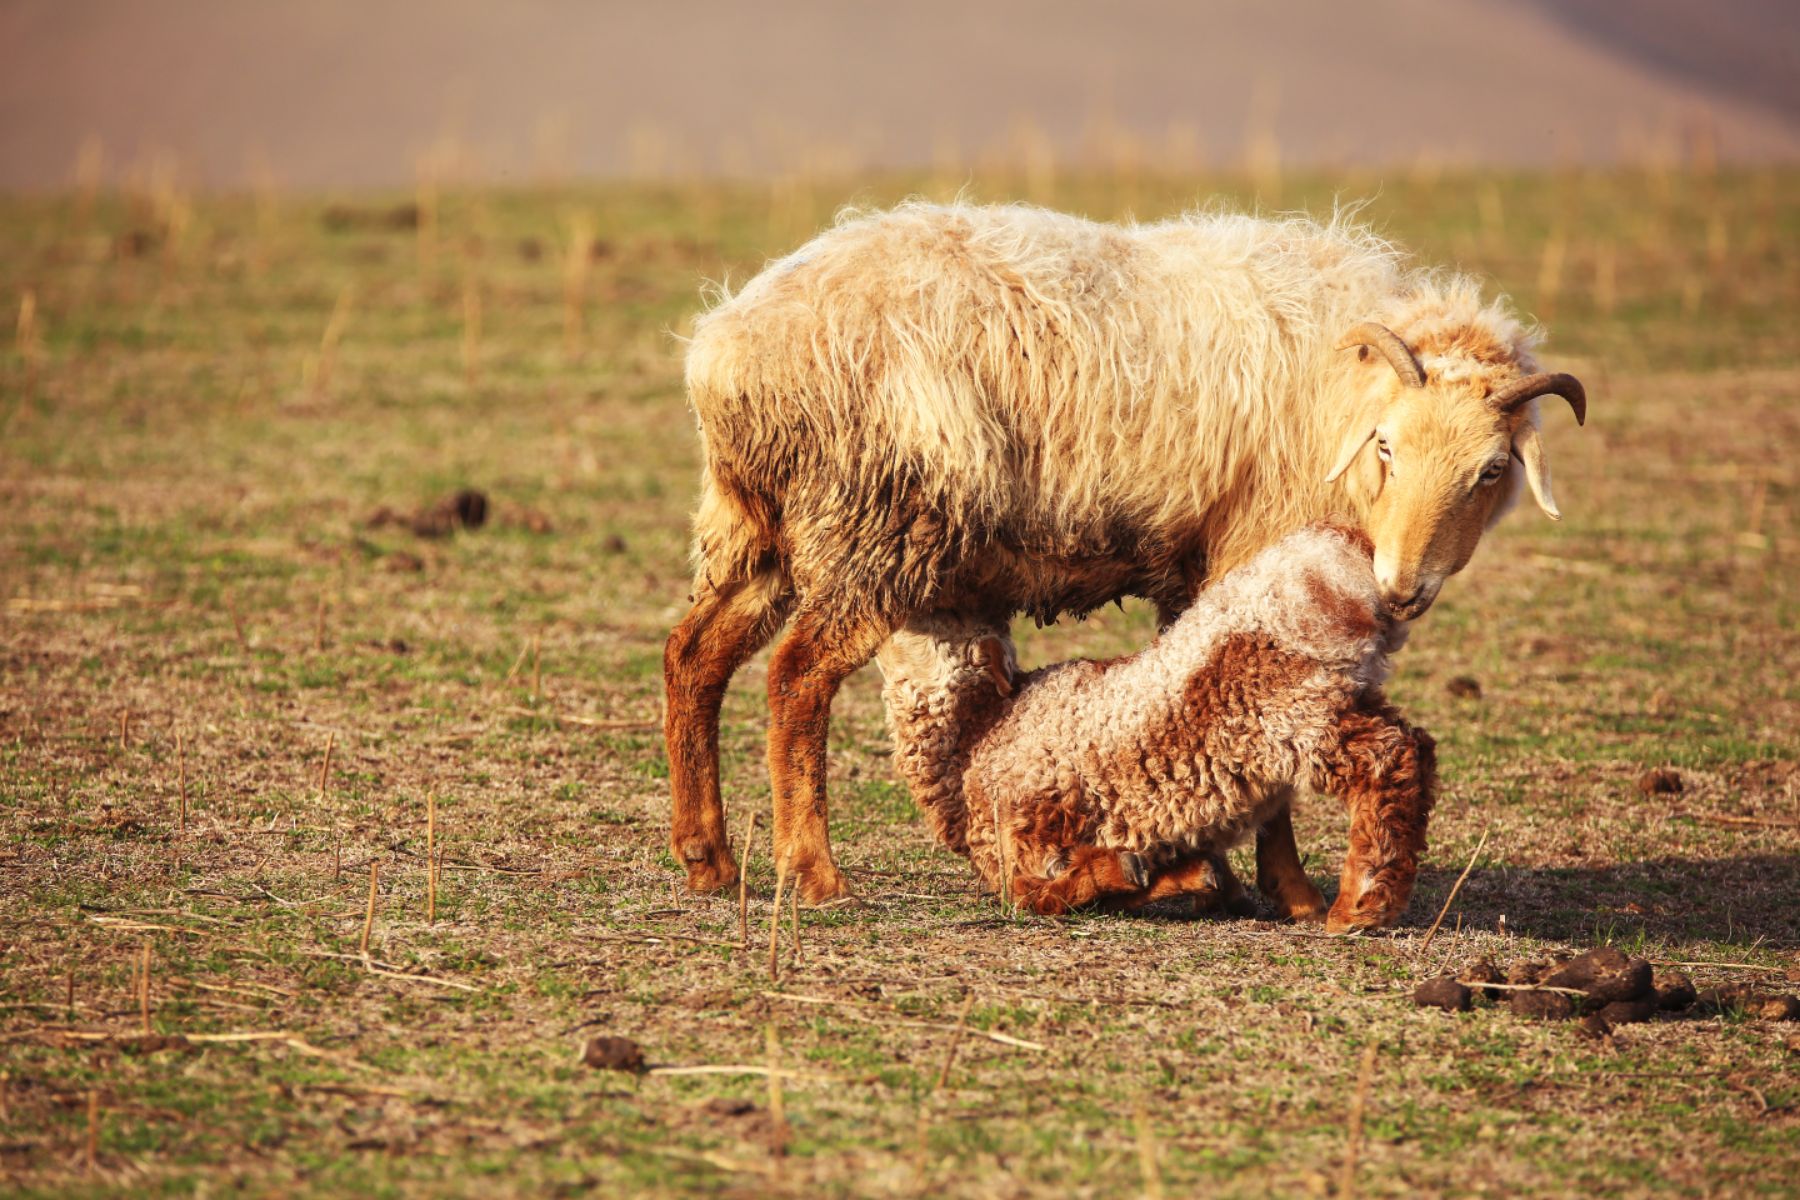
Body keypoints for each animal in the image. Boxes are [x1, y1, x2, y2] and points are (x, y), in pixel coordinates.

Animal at [871, 518, 1432, 928]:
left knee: (1388, 757)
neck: (980, 733)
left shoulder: (1020, 830)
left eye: (939, 615)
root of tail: (1343, 552)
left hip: (1299, 714)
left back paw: (1360, 906)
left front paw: (1125, 871)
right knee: (1418, 747)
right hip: (1350, 693)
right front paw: (1196, 880)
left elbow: (1038, 897)